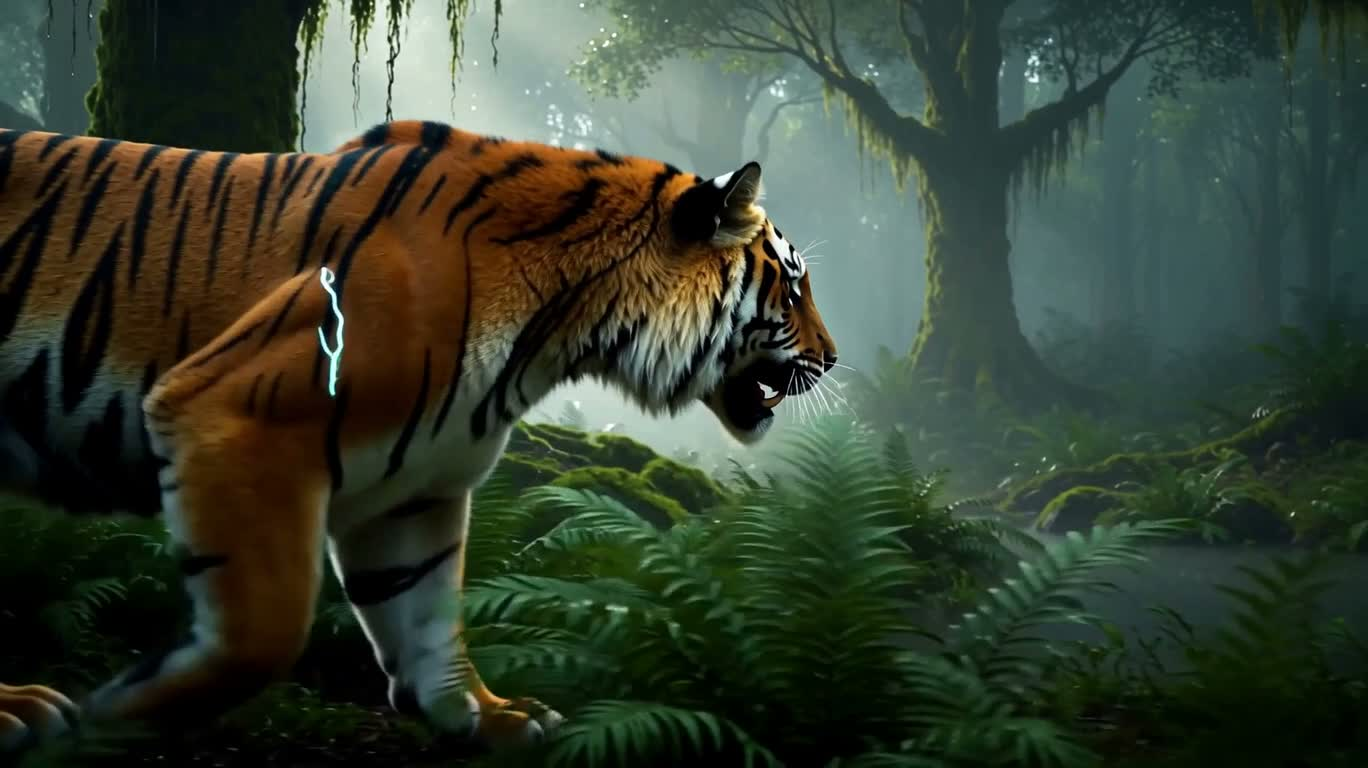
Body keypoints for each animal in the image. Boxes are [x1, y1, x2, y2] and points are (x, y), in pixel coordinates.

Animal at [0, 119, 838, 753]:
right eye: (794, 284)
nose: (833, 360)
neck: (564, 330)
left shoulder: (416, 485)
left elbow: (428, 612)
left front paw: (485, 717)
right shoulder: (235, 411)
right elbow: (263, 629)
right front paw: (116, 715)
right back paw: (24, 712)